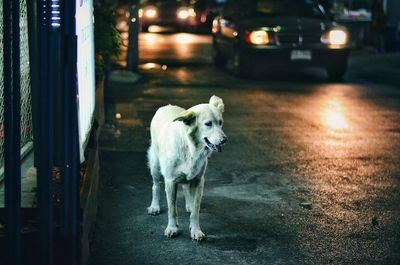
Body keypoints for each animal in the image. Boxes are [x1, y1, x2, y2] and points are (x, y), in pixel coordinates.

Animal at [147, 95, 228, 239]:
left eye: (220, 122)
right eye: (208, 124)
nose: (224, 140)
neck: (191, 148)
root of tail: (167, 106)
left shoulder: (199, 181)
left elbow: (196, 210)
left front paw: (196, 230)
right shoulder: (170, 182)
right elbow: (172, 209)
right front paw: (172, 228)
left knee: (185, 188)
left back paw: (189, 204)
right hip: (155, 166)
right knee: (155, 186)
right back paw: (154, 206)